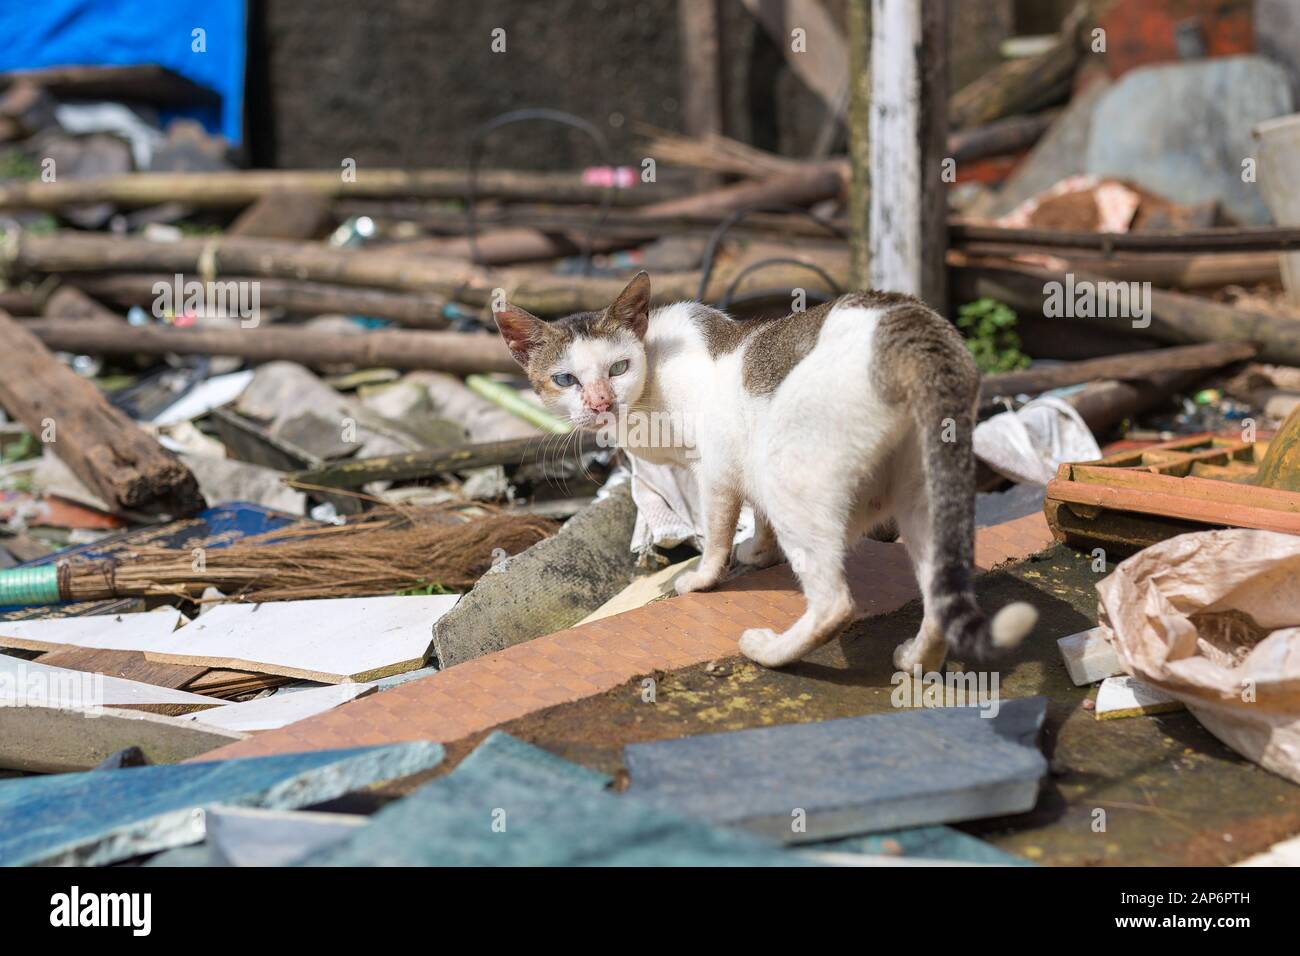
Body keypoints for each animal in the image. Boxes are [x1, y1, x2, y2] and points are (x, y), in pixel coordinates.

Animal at [488, 273, 1034, 671]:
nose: (600, 402)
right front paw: (761, 552)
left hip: (790, 471)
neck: (651, 385)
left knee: (835, 604)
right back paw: (917, 661)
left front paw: (703, 577)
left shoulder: (713, 471)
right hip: (925, 495)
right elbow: (759, 517)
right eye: (565, 380)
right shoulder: (742, 460)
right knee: (937, 597)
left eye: (618, 368)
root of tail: (914, 326)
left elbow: (715, 534)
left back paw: (769, 652)